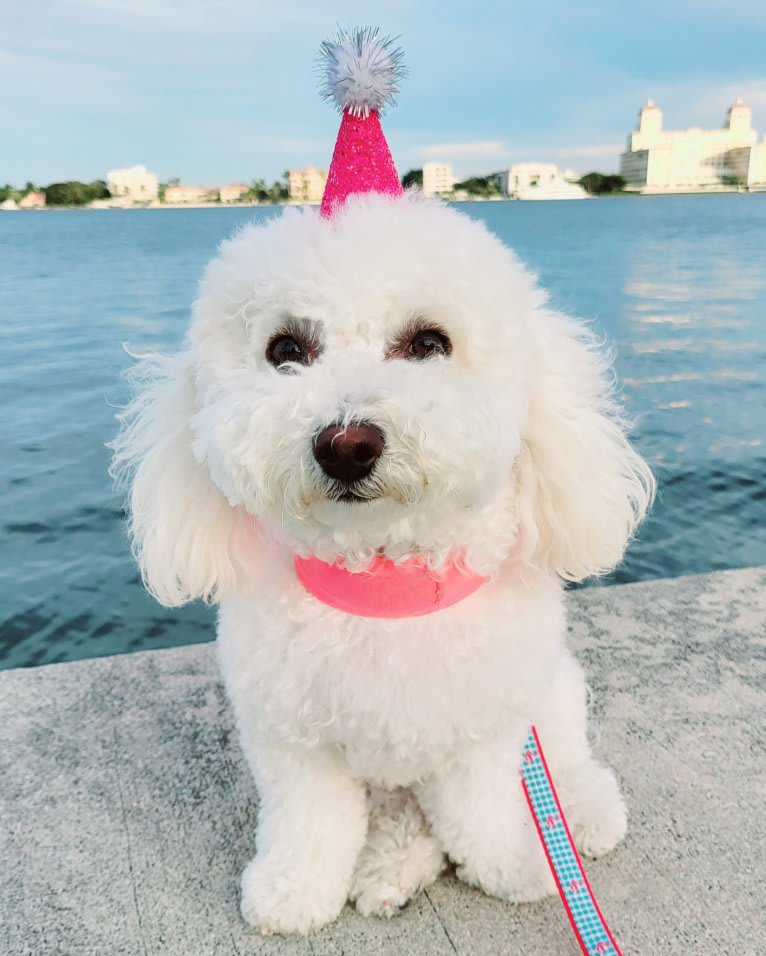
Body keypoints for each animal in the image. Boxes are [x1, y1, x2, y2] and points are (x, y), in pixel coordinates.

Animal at [112, 192, 656, 932]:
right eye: (286, 351)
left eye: (429, 344)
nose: (346, 444)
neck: (385, 585)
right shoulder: (292, 741)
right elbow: (308, 825)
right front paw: (292, 893)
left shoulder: (487, 732)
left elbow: (483, 811)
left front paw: (519, 862)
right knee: (400, 814)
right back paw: (391, 867)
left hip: (553, 694)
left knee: (566, 753)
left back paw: (581, 814)